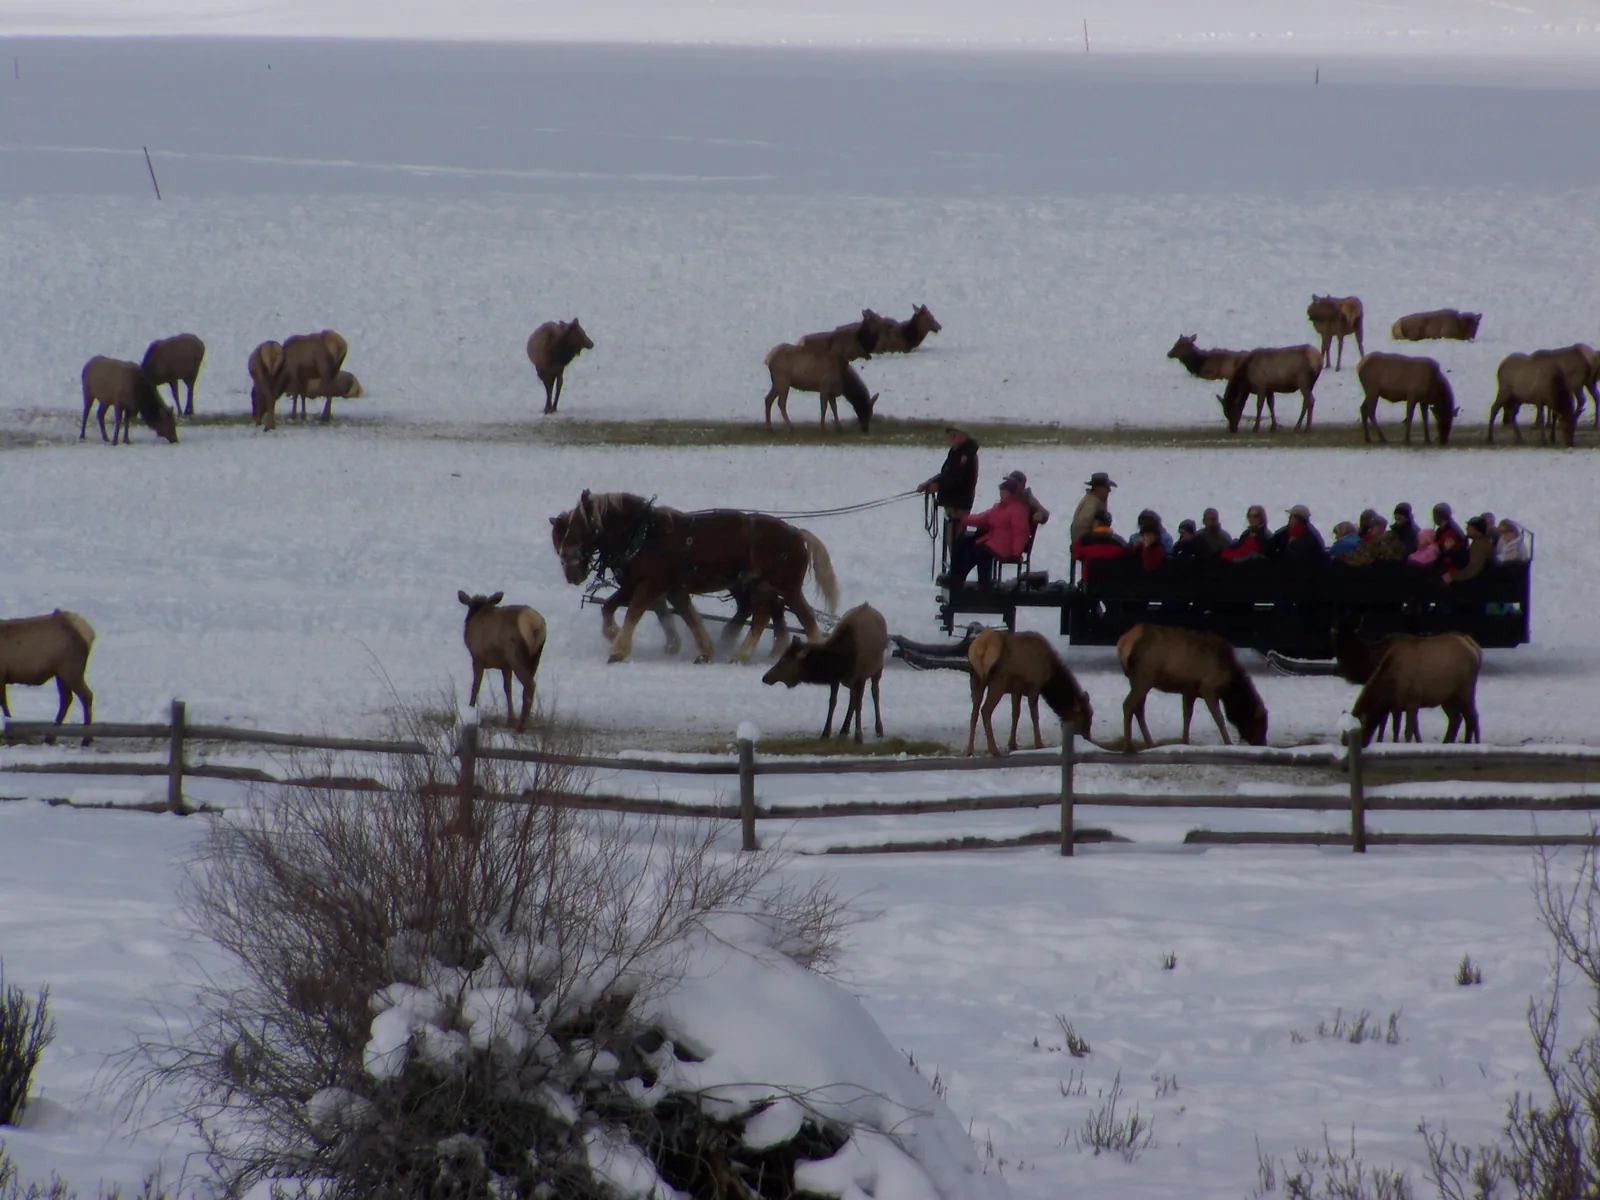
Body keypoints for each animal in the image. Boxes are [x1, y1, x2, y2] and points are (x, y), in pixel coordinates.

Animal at [552, 491, 837, 664]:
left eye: (581, 526)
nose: (570, 569)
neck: (644, 536)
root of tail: (797, 533)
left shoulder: (649, 585)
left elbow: (633, 613)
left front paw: (618, 649)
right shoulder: (661, 588)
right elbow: (685, 616)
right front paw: (704, 651)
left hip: (785, 586)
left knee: (802, 617)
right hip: (760, 587)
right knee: (764, 615)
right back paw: (745, 652)